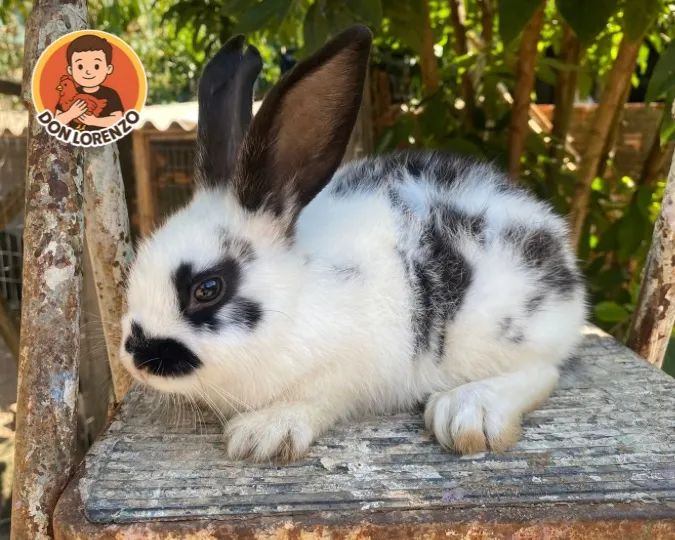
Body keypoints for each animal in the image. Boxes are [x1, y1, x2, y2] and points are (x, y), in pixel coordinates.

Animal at [120, 25, 586, 463]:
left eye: (208, 289)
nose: (136, 359)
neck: (298, 297)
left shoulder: (349, 368)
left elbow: (316, 398)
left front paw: (262, 434)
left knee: (543, 370)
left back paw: (469, 412)